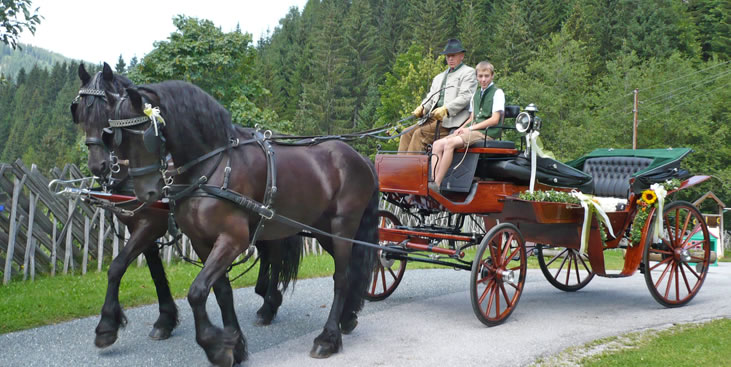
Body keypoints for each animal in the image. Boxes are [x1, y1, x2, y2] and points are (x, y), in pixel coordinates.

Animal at [71, 64, 304, 350]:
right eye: (81, 113)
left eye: (105, 114)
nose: (98, 165)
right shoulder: (144, 228)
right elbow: (152, 270)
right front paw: (164, 319)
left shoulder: (151, 225)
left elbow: (116, 266)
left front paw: (107, 326)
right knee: (268, 251)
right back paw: (266, 298)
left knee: (275, 252)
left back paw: (269, 303)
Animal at [106, 82, 380, 366]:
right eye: (114, 138)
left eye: (145, 135)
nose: (144, 193)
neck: (212, 167)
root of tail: (361, 158)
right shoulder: (202, 242)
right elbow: (221, 291)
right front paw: (235, 346)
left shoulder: (232, 240)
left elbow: (197, 292)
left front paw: (214, 346)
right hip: (324, 229)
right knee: (351, 272)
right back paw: (347, 318)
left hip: (343, 226)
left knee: (342, 277)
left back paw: (328, 337)